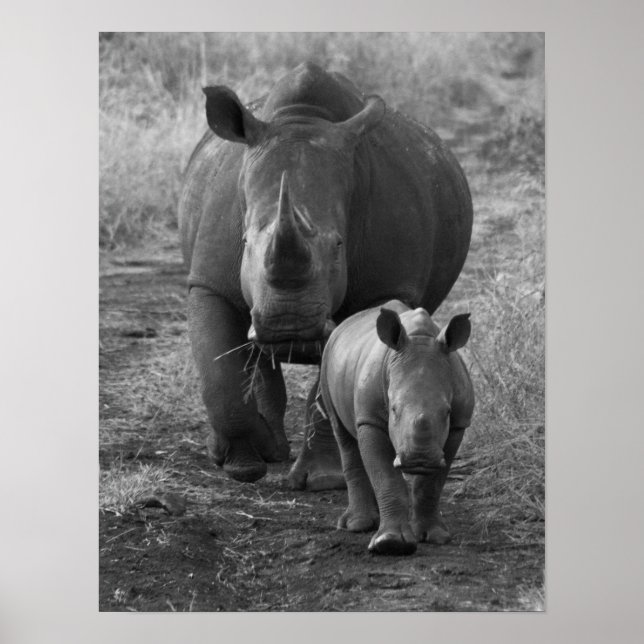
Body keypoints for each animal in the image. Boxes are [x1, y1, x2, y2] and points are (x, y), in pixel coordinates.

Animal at [178, 62, 473, 486]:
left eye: (338, 245)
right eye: (246, 241)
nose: (290, 327)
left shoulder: (383, 286)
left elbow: (335, 374)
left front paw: (321, 480)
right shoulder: (209, 282)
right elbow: (218, 371)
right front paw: (242, 465)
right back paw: (264, 451)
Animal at [320, 301, 474, 555]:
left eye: (447, 412)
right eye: (393, 409)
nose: (420, 459)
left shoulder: (459, 425)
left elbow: (431, 484)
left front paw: (435, 536)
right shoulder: (370, 419)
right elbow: (387, 479)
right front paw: (391, 544)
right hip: (326, 360)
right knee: (342, 435)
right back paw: (357, 524)